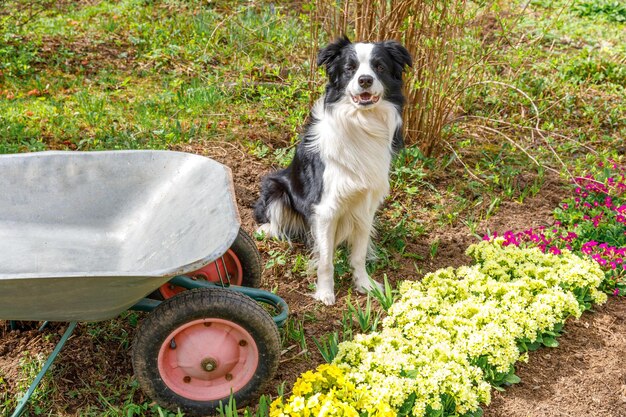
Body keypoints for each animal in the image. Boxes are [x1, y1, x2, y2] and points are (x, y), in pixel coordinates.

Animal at [251, 37, 412, 304]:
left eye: (379, 67)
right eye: (350, 68)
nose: (364, 80)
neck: (361, 122)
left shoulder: (366, 205)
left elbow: (358, 254)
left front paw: (364, 284)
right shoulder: (326, 209)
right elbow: (326, 260)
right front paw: (325, 292)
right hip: (275, 185)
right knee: (275, 219)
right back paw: (266, 230)